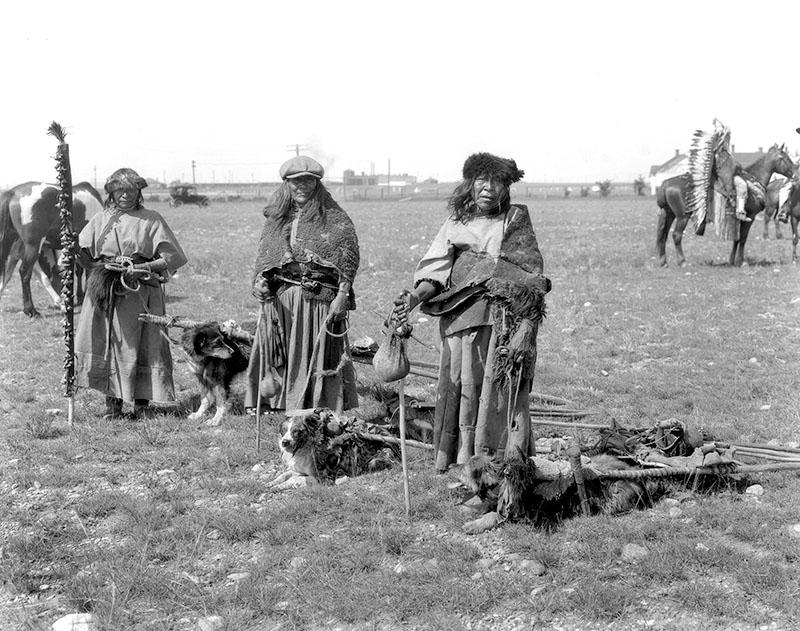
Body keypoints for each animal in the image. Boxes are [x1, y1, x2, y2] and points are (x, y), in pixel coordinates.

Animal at [656, 143, 792, 266]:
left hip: (669, 214)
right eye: (785, 158)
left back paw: (663, 262)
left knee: (663, 235)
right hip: (682, 216)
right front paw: (741, 262)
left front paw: (732, 261)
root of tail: (666, 184)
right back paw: (682, 262)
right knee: (676, 235)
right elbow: (743, 238)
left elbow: (736, 239)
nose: (794, 172)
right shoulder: (750, 217)